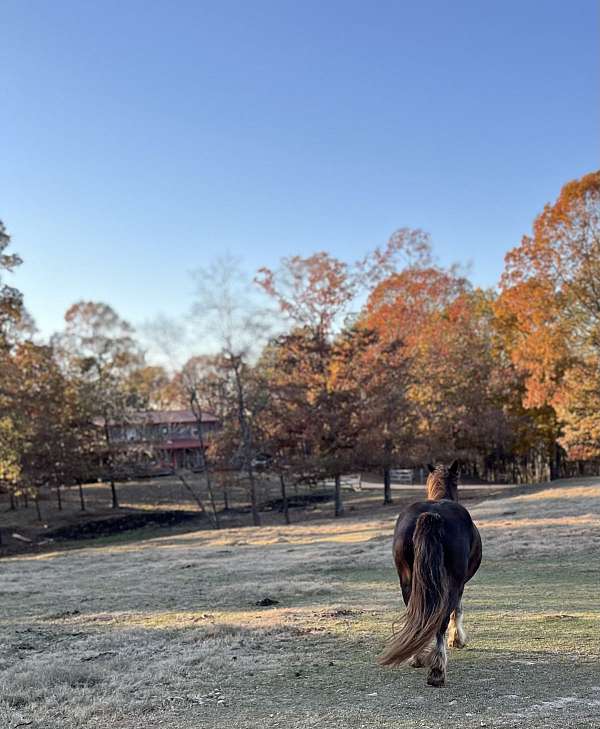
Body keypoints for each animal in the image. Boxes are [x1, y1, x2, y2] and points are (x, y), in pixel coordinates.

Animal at [380, 464, 482, 684]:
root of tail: (431, 515)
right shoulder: (460, 584)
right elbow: (457, 610)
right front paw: (457, 640)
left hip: (409, 583)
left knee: (419, 618)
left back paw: (418, 657)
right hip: (452, 585)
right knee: (440, 621)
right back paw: (437, 669)